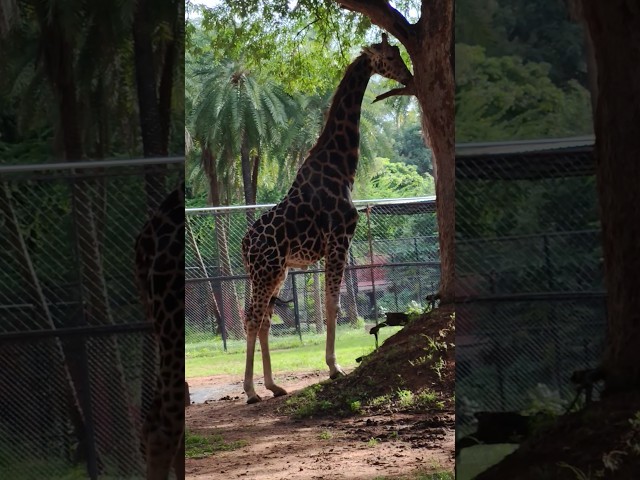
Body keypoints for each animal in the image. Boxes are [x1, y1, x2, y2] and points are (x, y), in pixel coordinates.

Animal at [241, 34, 413, 404]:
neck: (342, 168)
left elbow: (336, 304)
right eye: (390, 56)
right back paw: (250, 391)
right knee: (252, 318)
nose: (408, 76)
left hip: (274, 272)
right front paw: (335, 367)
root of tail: (245, 245)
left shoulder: (334, 245)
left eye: (398, 52)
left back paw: (274, 385)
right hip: (266, 271)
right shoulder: (339, 239)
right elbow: (333, 303)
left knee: (264, 320)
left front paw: (333, 364)